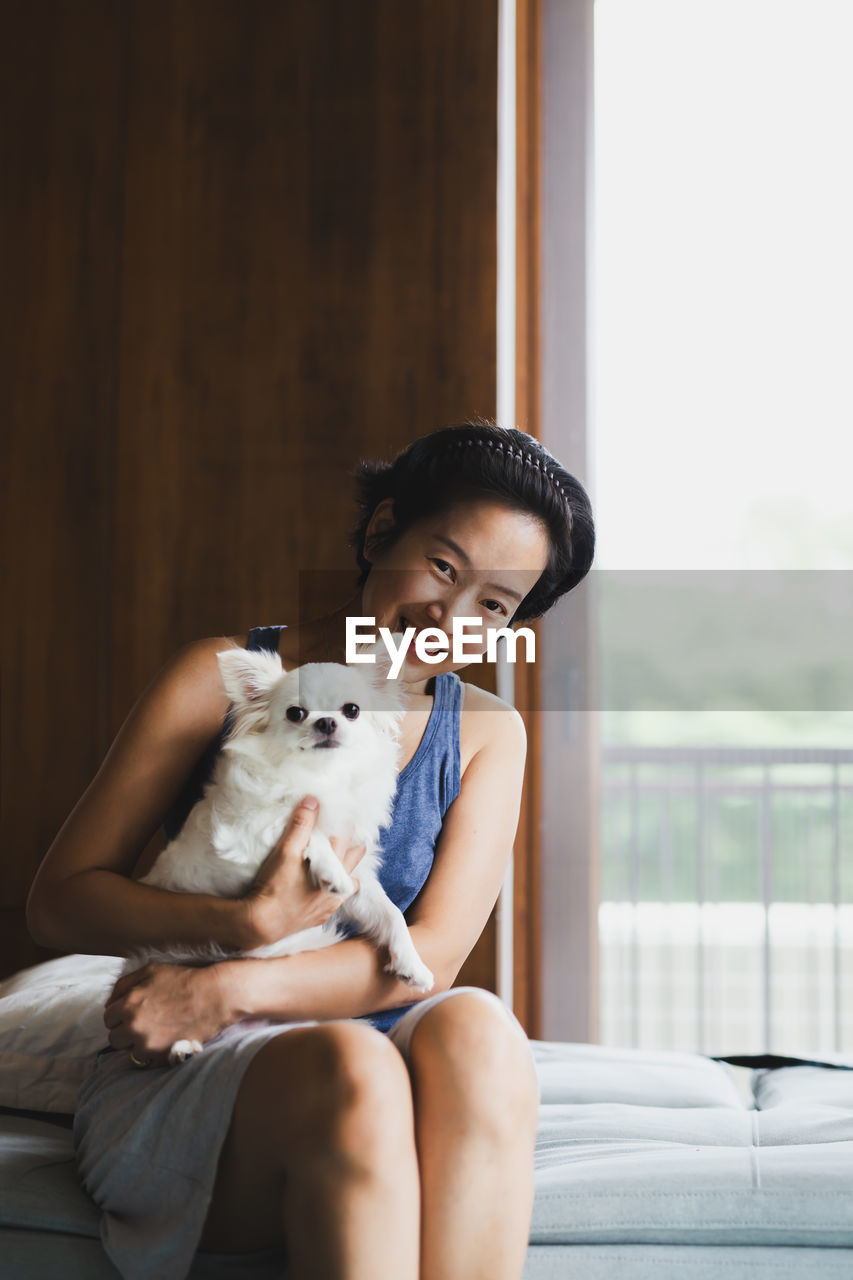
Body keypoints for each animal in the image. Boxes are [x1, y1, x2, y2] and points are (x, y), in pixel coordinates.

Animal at [128, 645, 432, 1064]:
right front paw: (329, 869)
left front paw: (411, 962)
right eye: (295, 713)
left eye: (352, 710)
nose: (326, 722)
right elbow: (302, 824)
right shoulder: (245, 833)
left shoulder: (363, 882)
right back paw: (181, 1045)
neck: (321, 775)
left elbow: (390, 914)